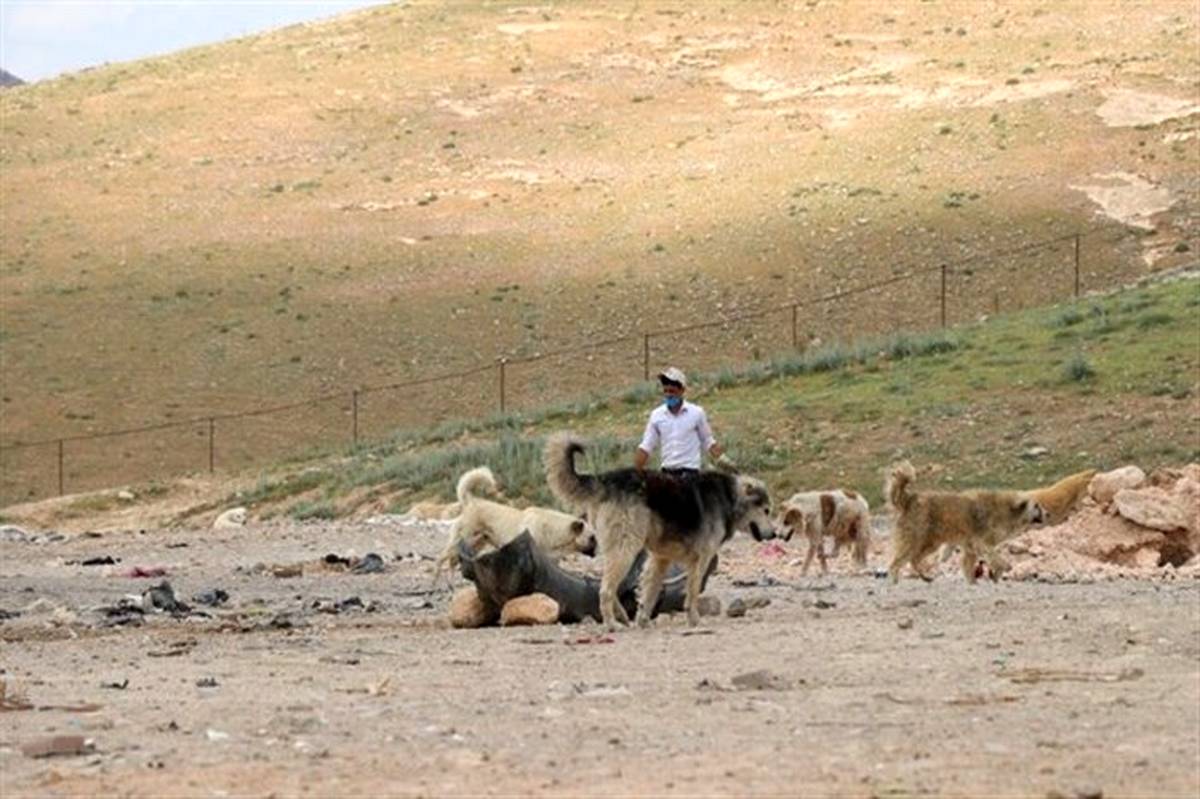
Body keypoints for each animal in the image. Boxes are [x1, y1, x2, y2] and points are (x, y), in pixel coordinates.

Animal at [434, 463, 597, 575]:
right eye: (591, 538)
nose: (598, 551)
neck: (553, 529)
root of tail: (471, 501)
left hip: (476, 544)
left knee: (453, 561)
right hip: (461, 540)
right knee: (440, 559)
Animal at [547, 429, 777, 628]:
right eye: (766, 510)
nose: (775, 534)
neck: (730, 497)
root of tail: (606, 480)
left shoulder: (660, 559)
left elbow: (650, 593)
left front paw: (643, 621)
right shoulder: (701, 559)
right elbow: (692, 592)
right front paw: (694, 620)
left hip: (618, 549)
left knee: (608, 587)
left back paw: (621, 616)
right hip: (626, 548)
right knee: (604, 590)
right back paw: (611, 624)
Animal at [888, 458, 1046, 583]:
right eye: (1037, 506)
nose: (1048, 513)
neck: (1007, 510)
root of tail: (909, 499)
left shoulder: (971, 546)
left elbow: (968, 565)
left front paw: (973, 583)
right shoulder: (981, 542)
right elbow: (997, 559)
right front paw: (1001, 570)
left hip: (930, 542)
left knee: (914, 559)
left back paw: (925, 576)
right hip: (915, 538)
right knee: (897, 562)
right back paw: (895, 581)